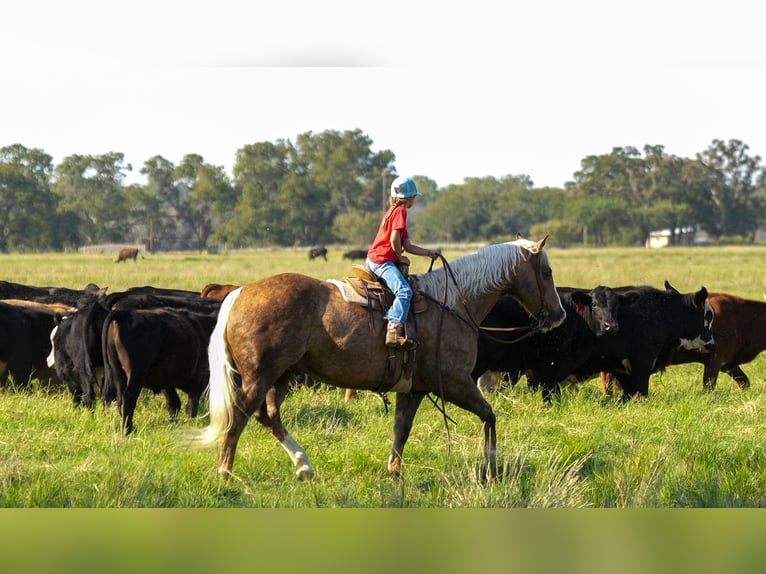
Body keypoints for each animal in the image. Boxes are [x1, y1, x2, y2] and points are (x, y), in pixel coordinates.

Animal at [189, 237, 568, 482]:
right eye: (546, 273)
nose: (559, 315)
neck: (454, 304)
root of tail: (240, 293)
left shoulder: (414, 389)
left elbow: (402, 429)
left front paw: (394, 471)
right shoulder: (456, 382)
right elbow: (489, 415)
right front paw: (491, 466)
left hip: (281, 374)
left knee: (268, 416)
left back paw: (303, 465)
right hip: (261, 375)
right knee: (240, 416)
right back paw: (226, 473)